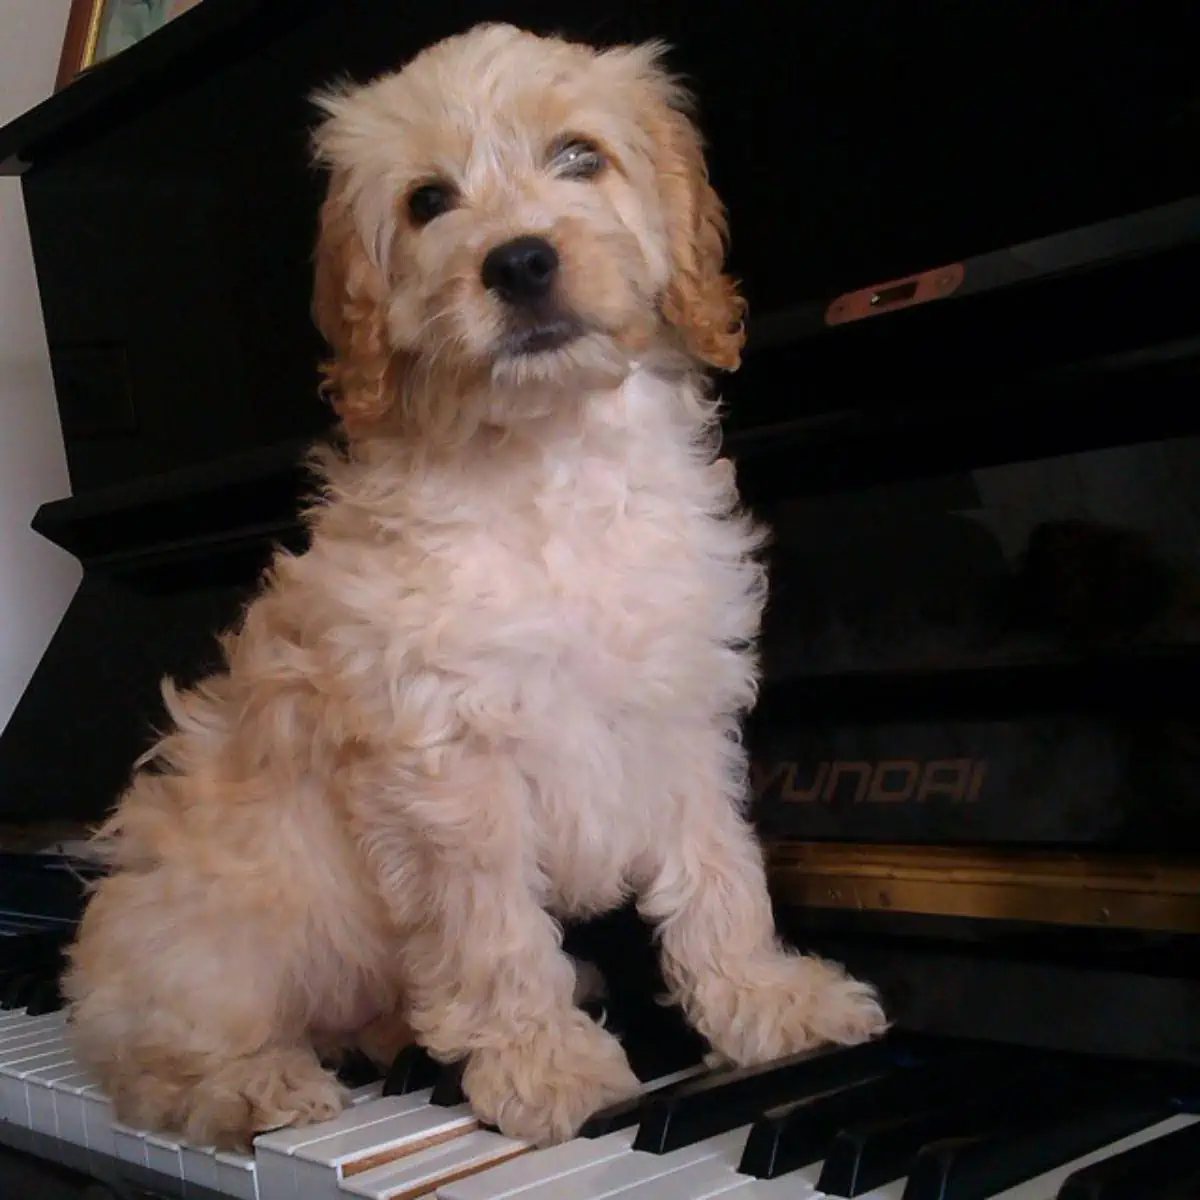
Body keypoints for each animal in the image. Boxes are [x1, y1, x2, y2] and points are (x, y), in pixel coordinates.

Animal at [65, 21, 892, 1152]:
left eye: (581, 157)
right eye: (427, 202)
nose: (521, 260)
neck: (549, 458)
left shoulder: (677, 713)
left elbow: (721, 873)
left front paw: (767, 1006)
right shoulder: (448, 763)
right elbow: (492, 928)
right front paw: (547, 1067)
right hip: (210, 934)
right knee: (158, 1056)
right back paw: (259, 1086)